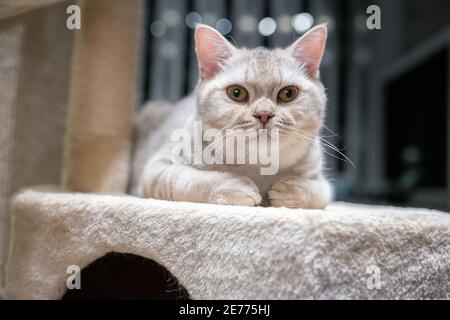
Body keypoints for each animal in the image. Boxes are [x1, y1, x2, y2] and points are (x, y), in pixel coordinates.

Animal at [139, 22, 332, 208]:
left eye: (288, 93)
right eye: (237, 93)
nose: (263, 114)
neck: (258, 165)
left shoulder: (319, 176)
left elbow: (320, 192)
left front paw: (292, 190)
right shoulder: (158, 168)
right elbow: (187, 181)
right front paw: (234, 186)